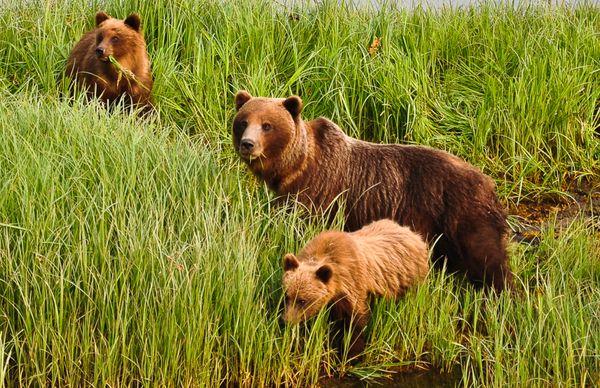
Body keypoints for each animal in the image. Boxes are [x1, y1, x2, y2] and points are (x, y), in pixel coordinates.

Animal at [232, 91, 512, 292]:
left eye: (267, 125)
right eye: (243, 122)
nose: (248, 144)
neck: (296, 165)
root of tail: (490, 184)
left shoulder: (319, 191)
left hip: (462, 214)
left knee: (487, 257)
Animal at [282, 220, 426, 356]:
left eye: (302, 300)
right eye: (287, 296)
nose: (287, 321)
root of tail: (413, 233)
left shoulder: (353, 284)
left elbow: (354, 323)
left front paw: (351, 354)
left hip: (409, 277)